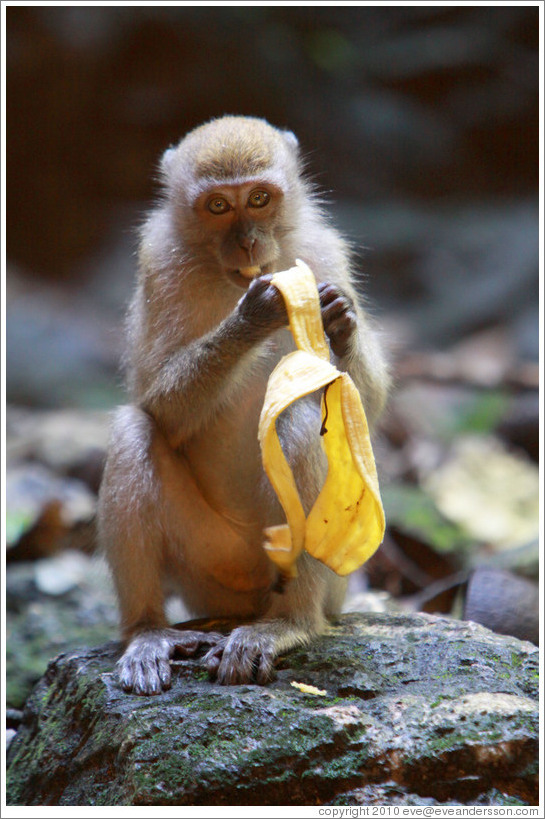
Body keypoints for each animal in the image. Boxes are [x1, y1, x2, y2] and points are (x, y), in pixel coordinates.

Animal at [96, 112, 386, 696]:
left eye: (258, 199)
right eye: (217, 207)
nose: (249, 245)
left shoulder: (326, 250)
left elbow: (365, 405)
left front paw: (339, 320)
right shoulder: (158, 263)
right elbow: (160, 407)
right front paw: (254, 315)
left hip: (325, 578)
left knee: (300, 418)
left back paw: (289, 623)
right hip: (209, 570)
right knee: (134, 430)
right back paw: (147, 631)